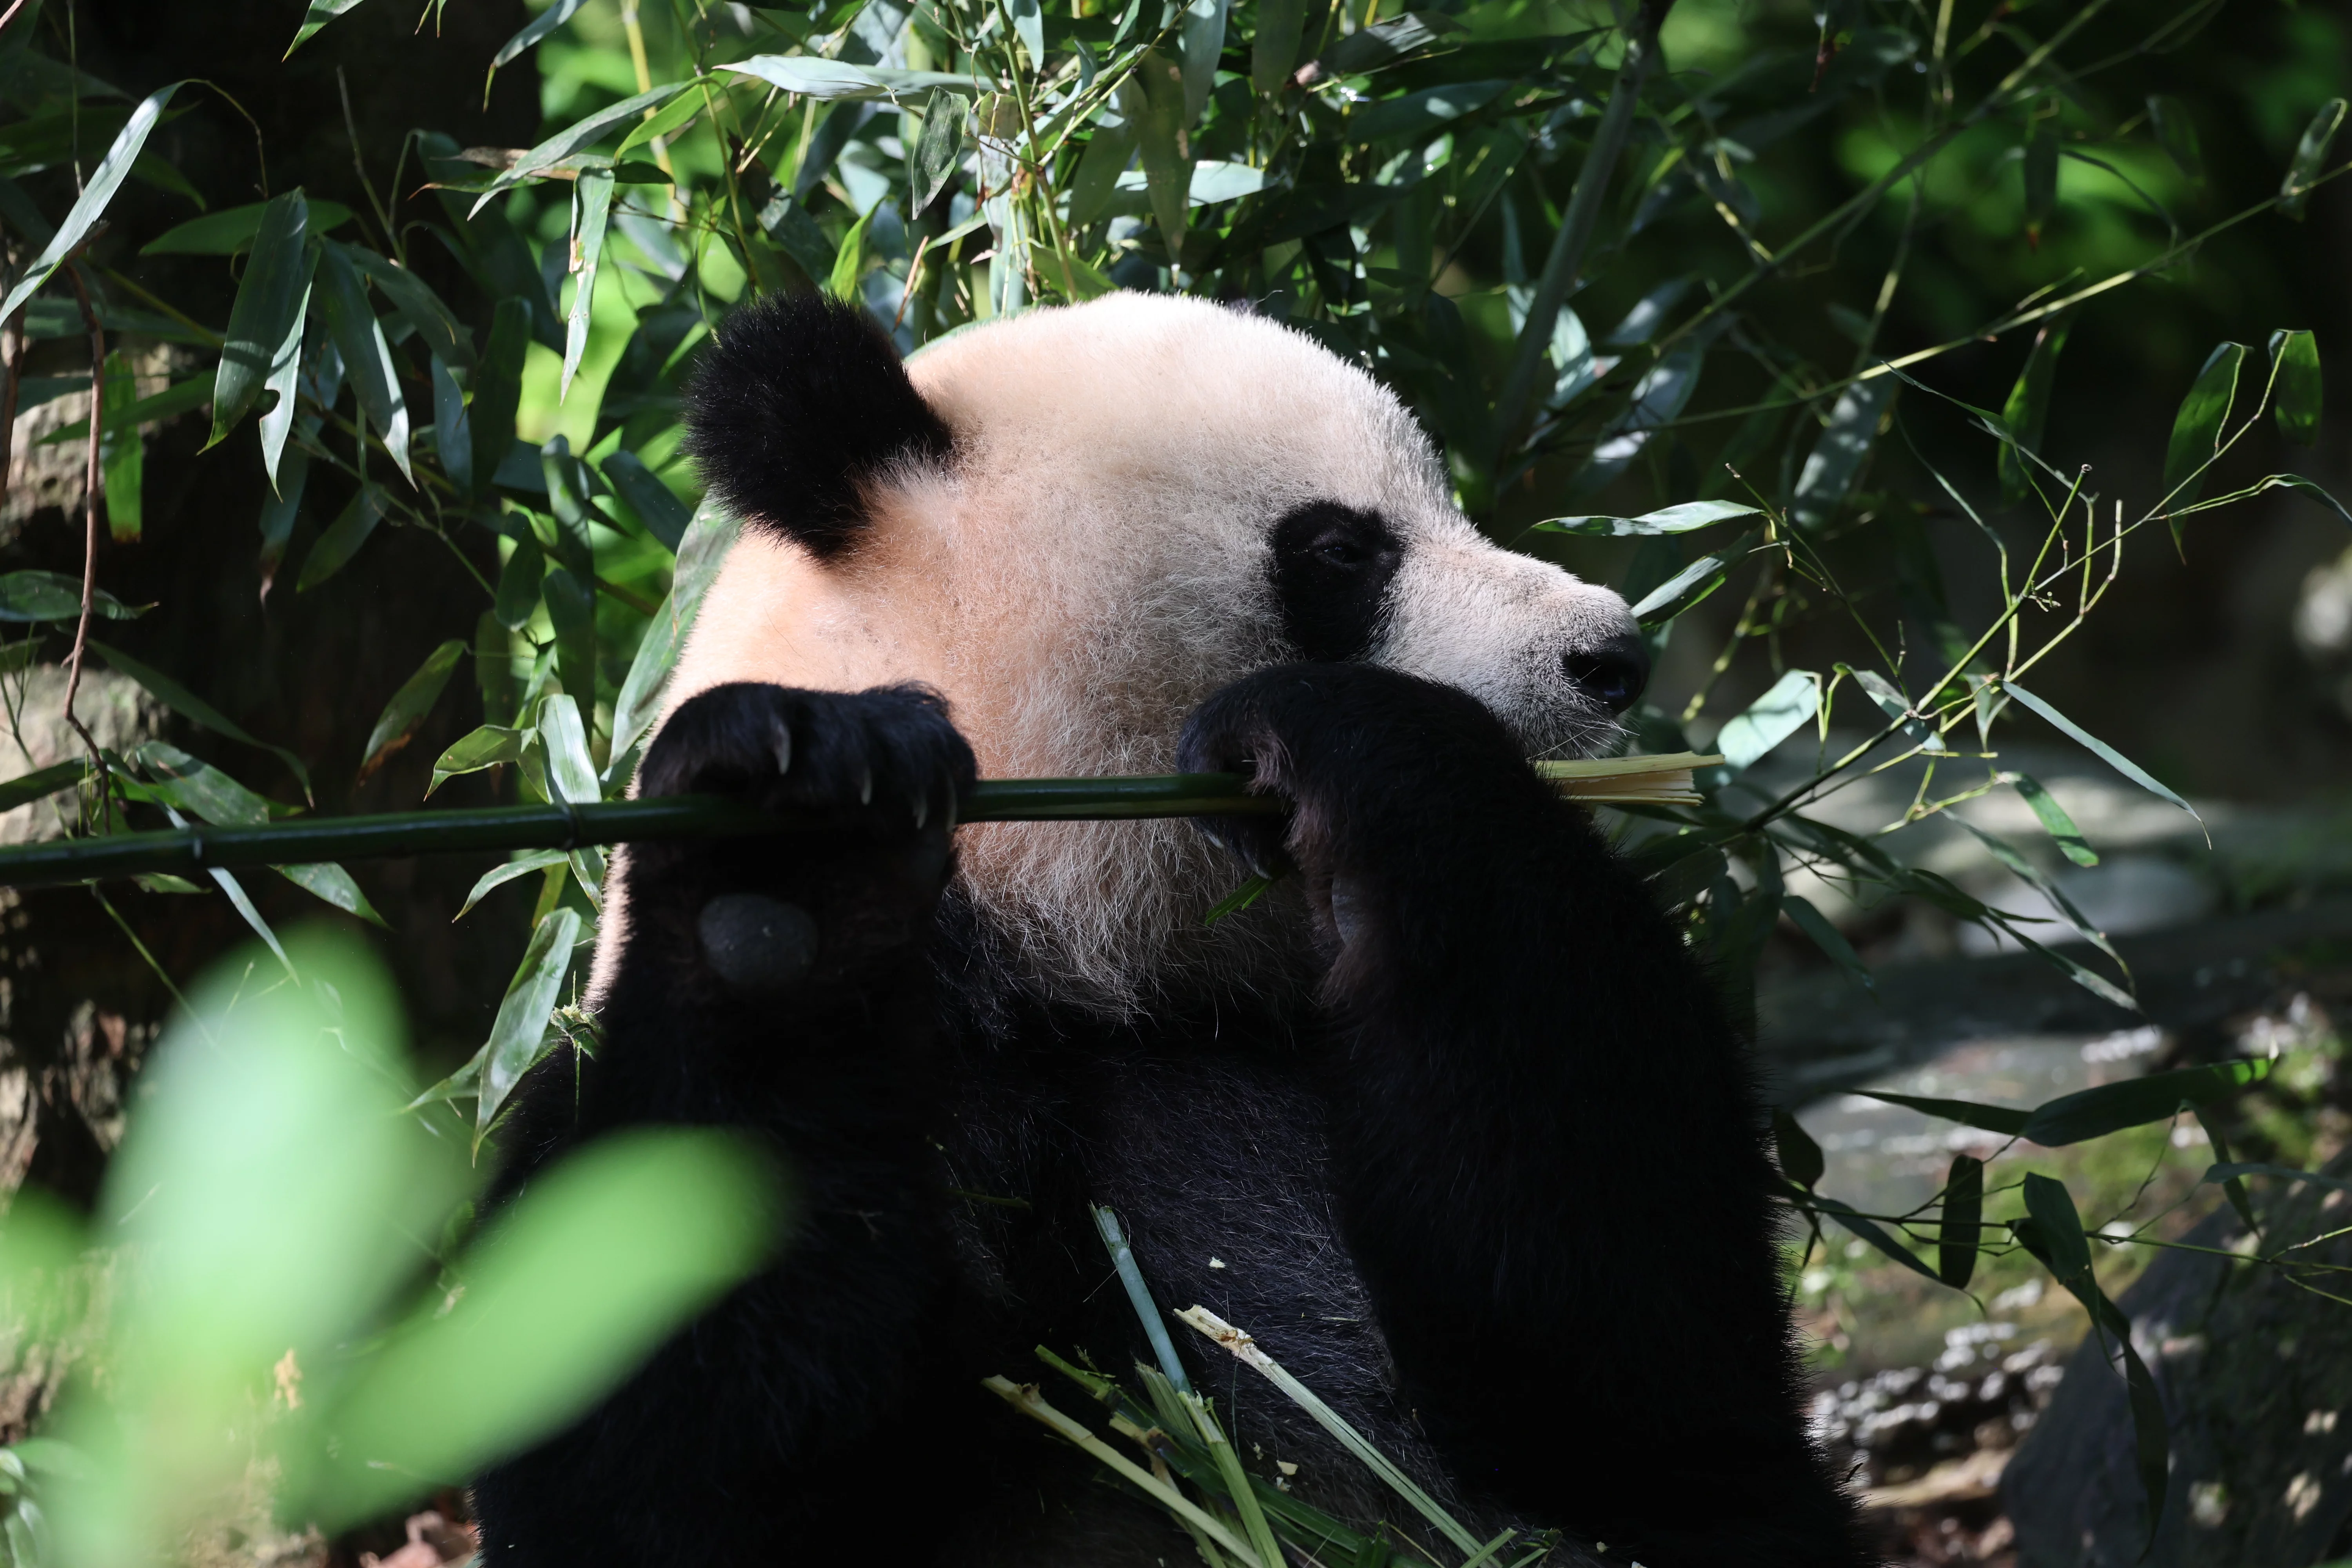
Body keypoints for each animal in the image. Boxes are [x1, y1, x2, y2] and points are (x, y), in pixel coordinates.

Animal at [471, 291, 1870, 1568]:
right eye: (1340, 550)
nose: (1612, 657)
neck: (1092, 962)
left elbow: (1640, 1398)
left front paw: (1356, 749)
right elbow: (653, 1443)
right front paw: (791, 844)